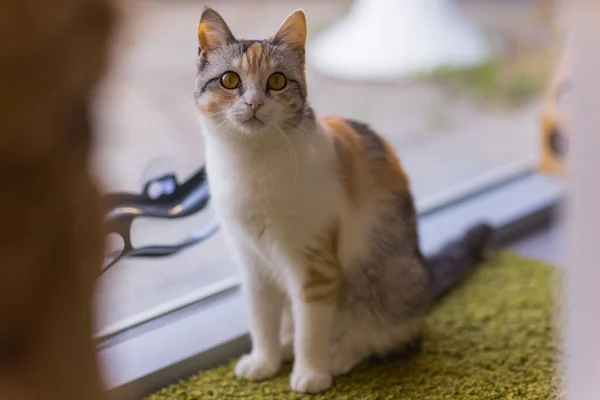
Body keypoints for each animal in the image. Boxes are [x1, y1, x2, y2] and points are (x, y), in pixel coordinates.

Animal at [197, 7, 492, 394]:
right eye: (230, 80)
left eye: (277, 81)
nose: (254, 103)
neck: (251, 163)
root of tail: (425, 273)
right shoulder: (252, 262)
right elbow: (261, 318)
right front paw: (264, 361)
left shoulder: (316, 265)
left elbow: (311, 327)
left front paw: (310, 374)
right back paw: (286, 346)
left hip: (387, 280)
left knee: (386, 336)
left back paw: (337, 356)